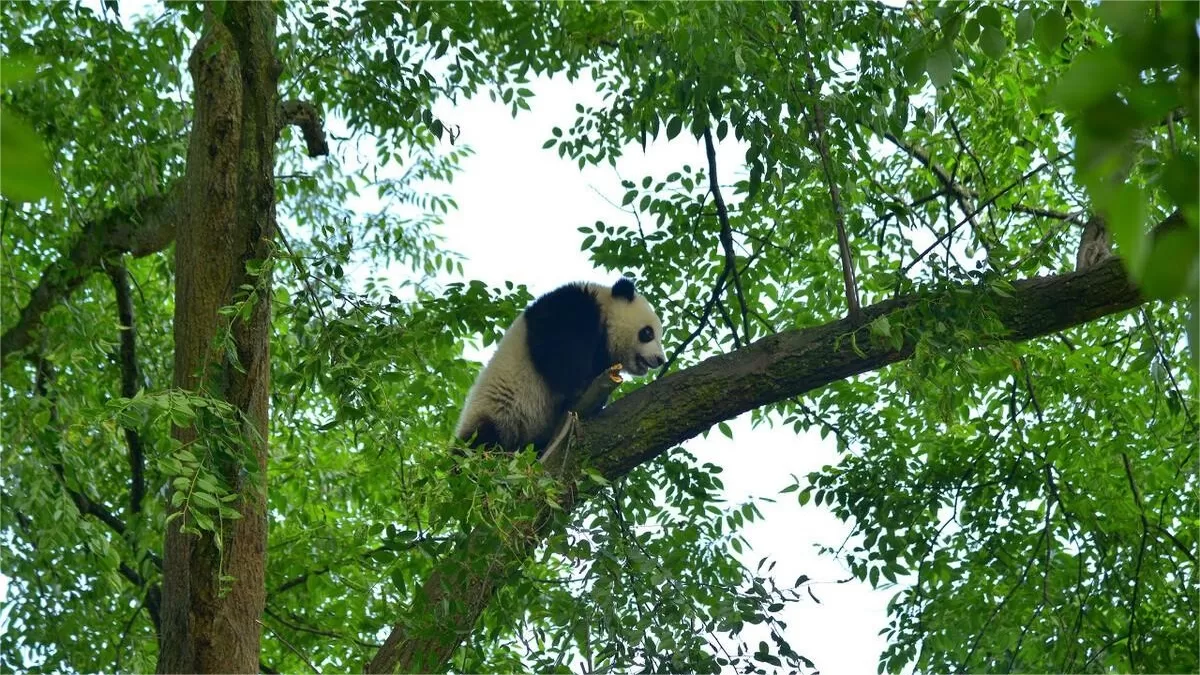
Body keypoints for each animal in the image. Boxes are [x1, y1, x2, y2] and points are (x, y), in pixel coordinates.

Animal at [455, 277, 666, 454]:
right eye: (648, 333)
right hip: (498, 413)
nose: (660, 360)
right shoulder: (568, 306)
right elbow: (556, 348)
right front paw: (579, 388)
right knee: (481, 443)